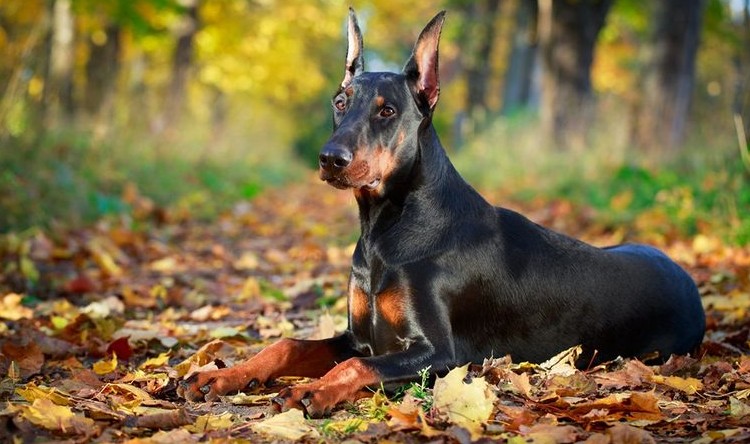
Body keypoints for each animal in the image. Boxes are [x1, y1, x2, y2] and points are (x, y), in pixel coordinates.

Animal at [179, 9, 708, 416]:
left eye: (387, 111)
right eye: (340, 102)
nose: (330, 158)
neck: (385, 230)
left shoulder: (439, 354)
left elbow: (356, 366)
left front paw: (313, 390)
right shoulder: (359, 336)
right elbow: (288, 344)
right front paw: (221, 375)